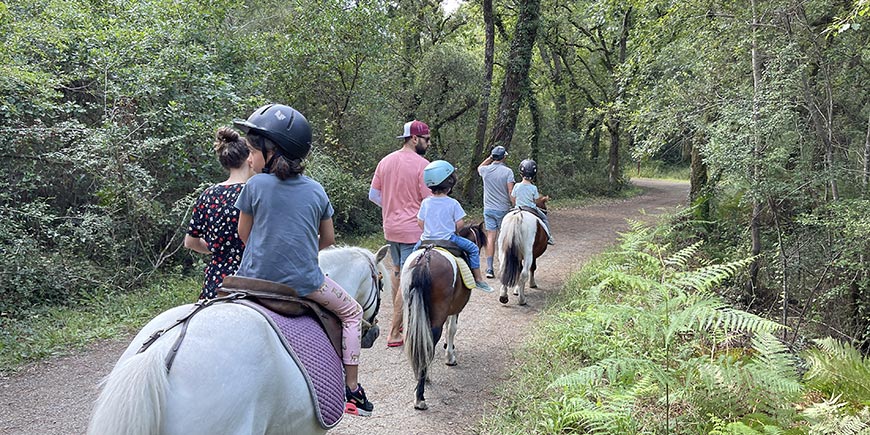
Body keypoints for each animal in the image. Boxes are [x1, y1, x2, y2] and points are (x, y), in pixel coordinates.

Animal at [404, 223, 488, 410]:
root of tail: (425, 259)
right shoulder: (455, 308)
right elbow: (452, 329)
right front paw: (450, 356)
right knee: (430, 339)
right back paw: (420, 395)